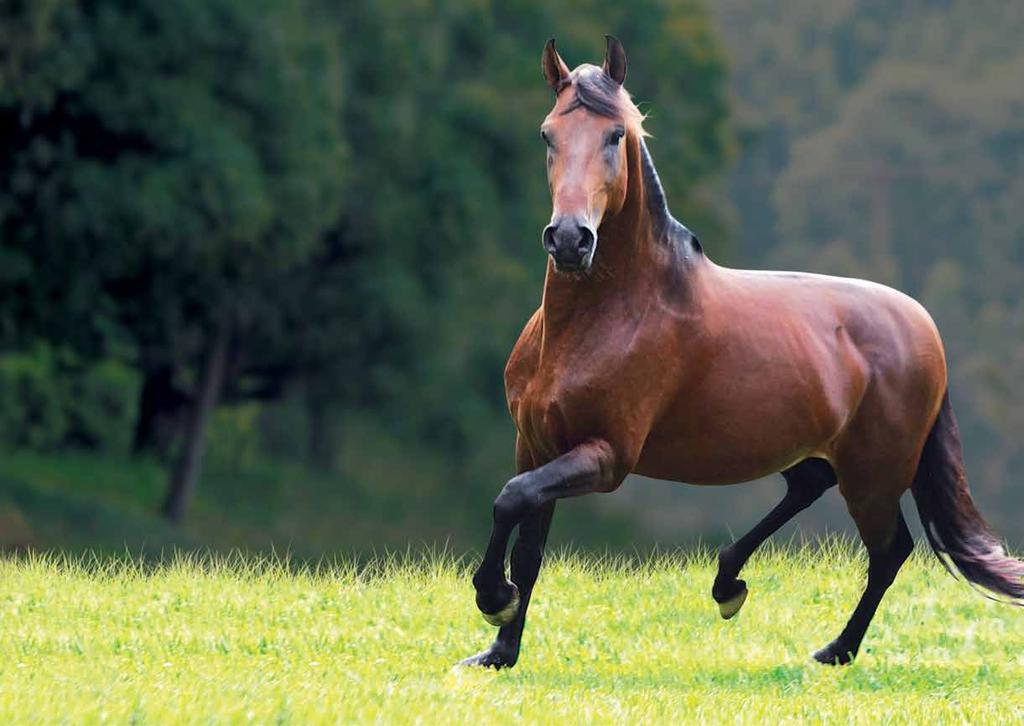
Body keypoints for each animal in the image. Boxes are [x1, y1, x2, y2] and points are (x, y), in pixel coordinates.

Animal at [462, 34, 1024, 667]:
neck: (596, 324)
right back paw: (729, 583)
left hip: (875, 471)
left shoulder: (606, 457)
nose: (569, 239)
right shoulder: (536, 444)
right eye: (547, 135)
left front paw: (492, 598)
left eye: (615, 135)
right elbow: (527, 540)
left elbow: (510, 501)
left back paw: (834, 649)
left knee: (889, 551)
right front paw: (498, 652)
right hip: (816, 449)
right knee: (809, 488)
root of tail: (923, 325)